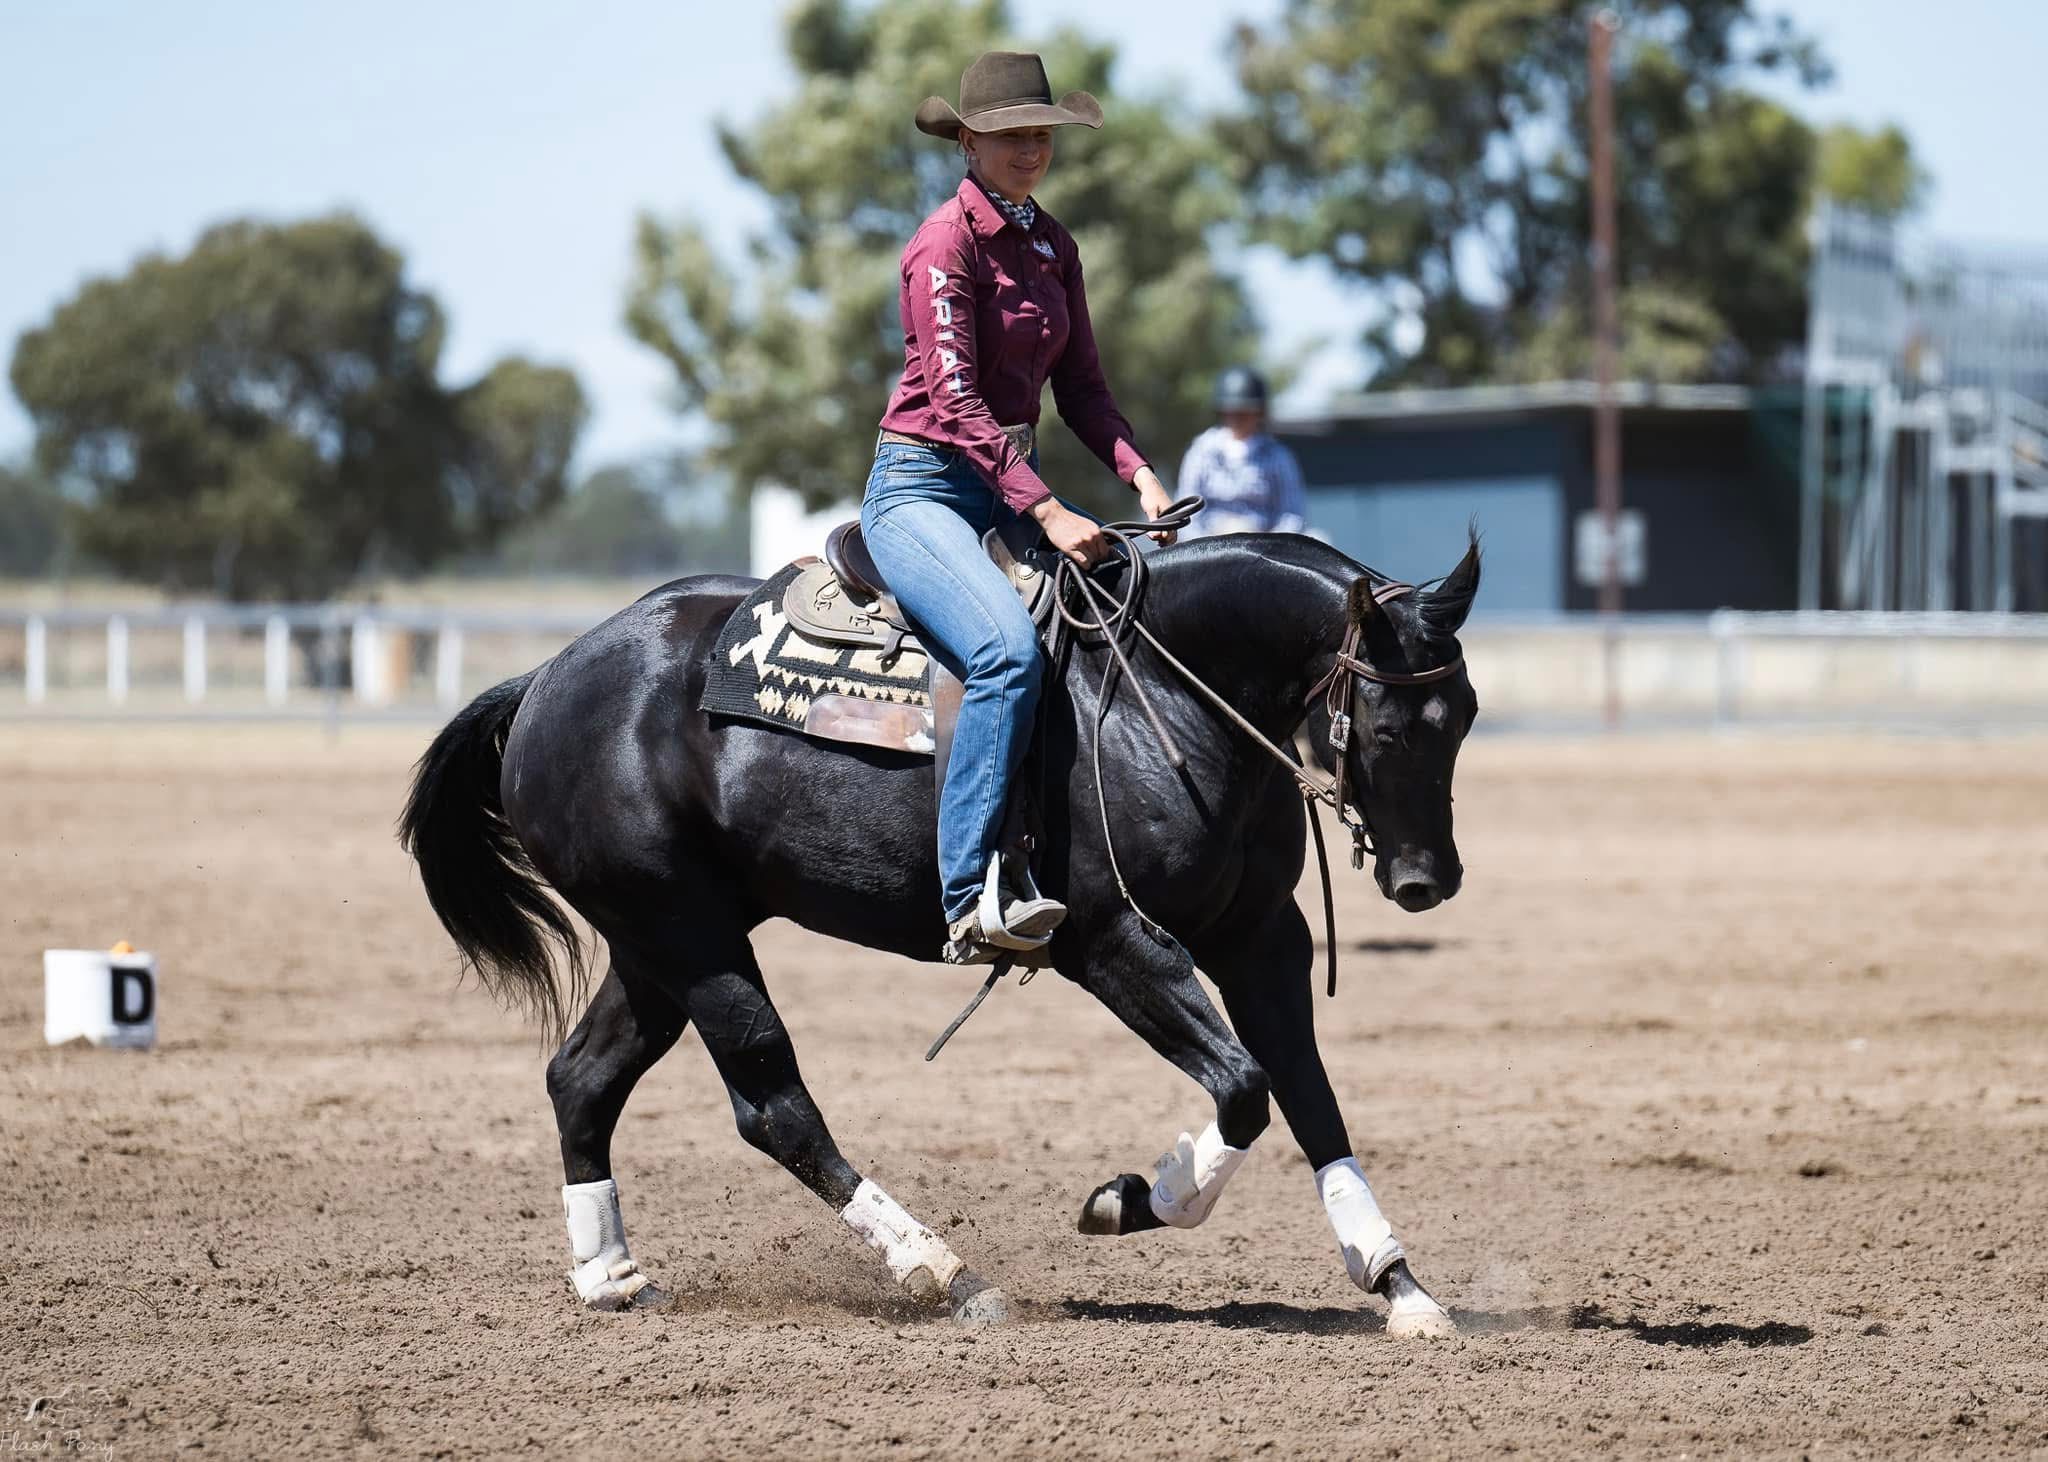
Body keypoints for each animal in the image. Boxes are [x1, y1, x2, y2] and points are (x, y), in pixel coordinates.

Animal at [399, 530, 1480, 1335]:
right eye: (1389, 726)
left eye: (1462, 714)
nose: (1427, 879)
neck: (1156, 697)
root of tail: (544, 678)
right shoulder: (1110, 943)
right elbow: (1246, 1089)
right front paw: (1133, 1199)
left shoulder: (1260, 937)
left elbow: (1306, 1093)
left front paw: (1398, 1283)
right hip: (690, 937)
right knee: (773, 1104)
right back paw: (946, 1273)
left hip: (656, 943)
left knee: (581, 1077)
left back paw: (612, 1276)